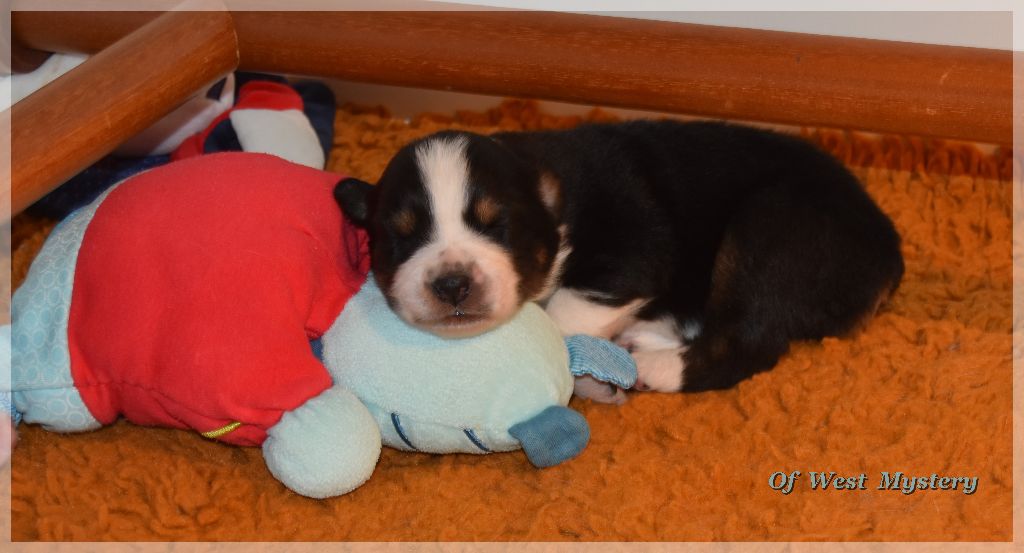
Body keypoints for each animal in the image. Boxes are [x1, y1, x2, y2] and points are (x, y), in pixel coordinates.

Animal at [334, 120, 904, 403]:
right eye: (401, 237)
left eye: (497, 226)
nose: (452, 284)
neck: (553, 199)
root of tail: (887, 252)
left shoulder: (637, 241)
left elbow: (565, 313)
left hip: (772, 227)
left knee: (746, 342)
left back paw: (651, 367)